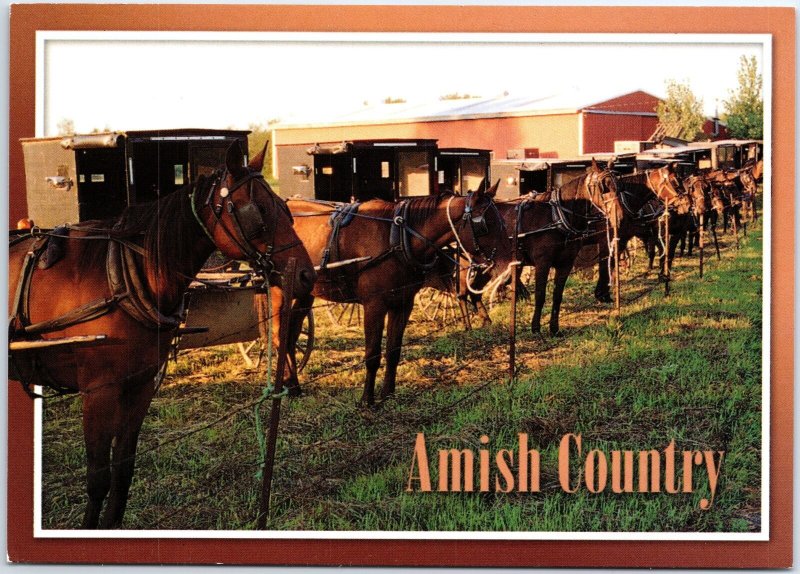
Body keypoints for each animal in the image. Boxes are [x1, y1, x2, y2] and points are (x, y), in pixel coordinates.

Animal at [10, 144, 316, 532]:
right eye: (258, 211)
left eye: (283, 207)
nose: (306, 274)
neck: (122, 277)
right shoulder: (98, 391)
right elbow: (97, 479)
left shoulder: (139, 385)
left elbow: (123, 473)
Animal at [260, 187, 512, 408]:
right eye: (485, 224)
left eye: (501, 221)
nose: (508, 267)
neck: (398, 238)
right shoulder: (374, 305)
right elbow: (373, 354)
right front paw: (367, 400)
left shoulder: (402, 304)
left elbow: (393, 350)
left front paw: (388, 393)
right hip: (280, 292)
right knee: (279, 336)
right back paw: (286, 386)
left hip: (305, 293)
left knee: (291, 336)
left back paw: (294, 386)